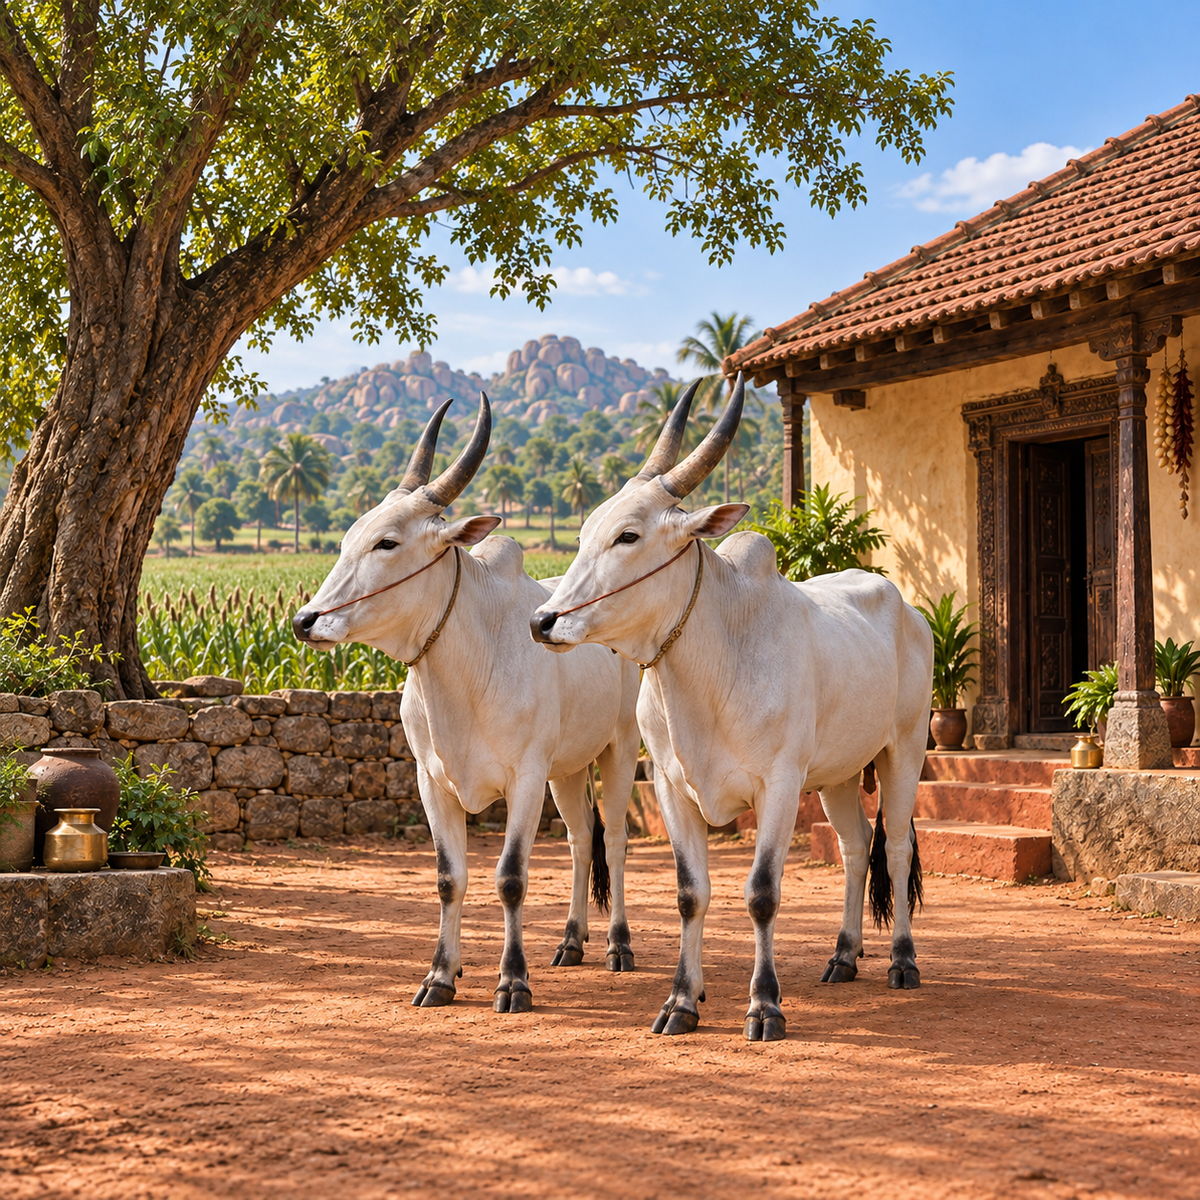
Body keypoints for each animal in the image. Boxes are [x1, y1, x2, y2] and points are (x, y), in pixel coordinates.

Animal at [292, 394, 642, 1013]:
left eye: (387, 542)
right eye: (347, 539)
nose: (305, 621)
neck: (464, 674)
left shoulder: (524, 778)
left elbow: (511, 878)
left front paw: (513, 981)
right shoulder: (432, 780)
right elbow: (449, 878)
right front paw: (440, 976)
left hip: (617, 750)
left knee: (618, 839)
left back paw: (617, 946)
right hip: (567, 769)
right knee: (581, 839)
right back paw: (571, 943)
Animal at [530, 376, 934, 1041]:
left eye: (628, 535)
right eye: (585, 533)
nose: (543, 621)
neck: (710, 670)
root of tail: (910, 610)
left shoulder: (779, 785)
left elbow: (762, 893)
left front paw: (765, 1005)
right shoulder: (670, 786)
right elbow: (691, 894)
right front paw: (680, 1002)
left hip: (905, 750)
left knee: (895, 849)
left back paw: (901, 961)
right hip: (837, 774)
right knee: (854, 848)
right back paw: (844, 956)